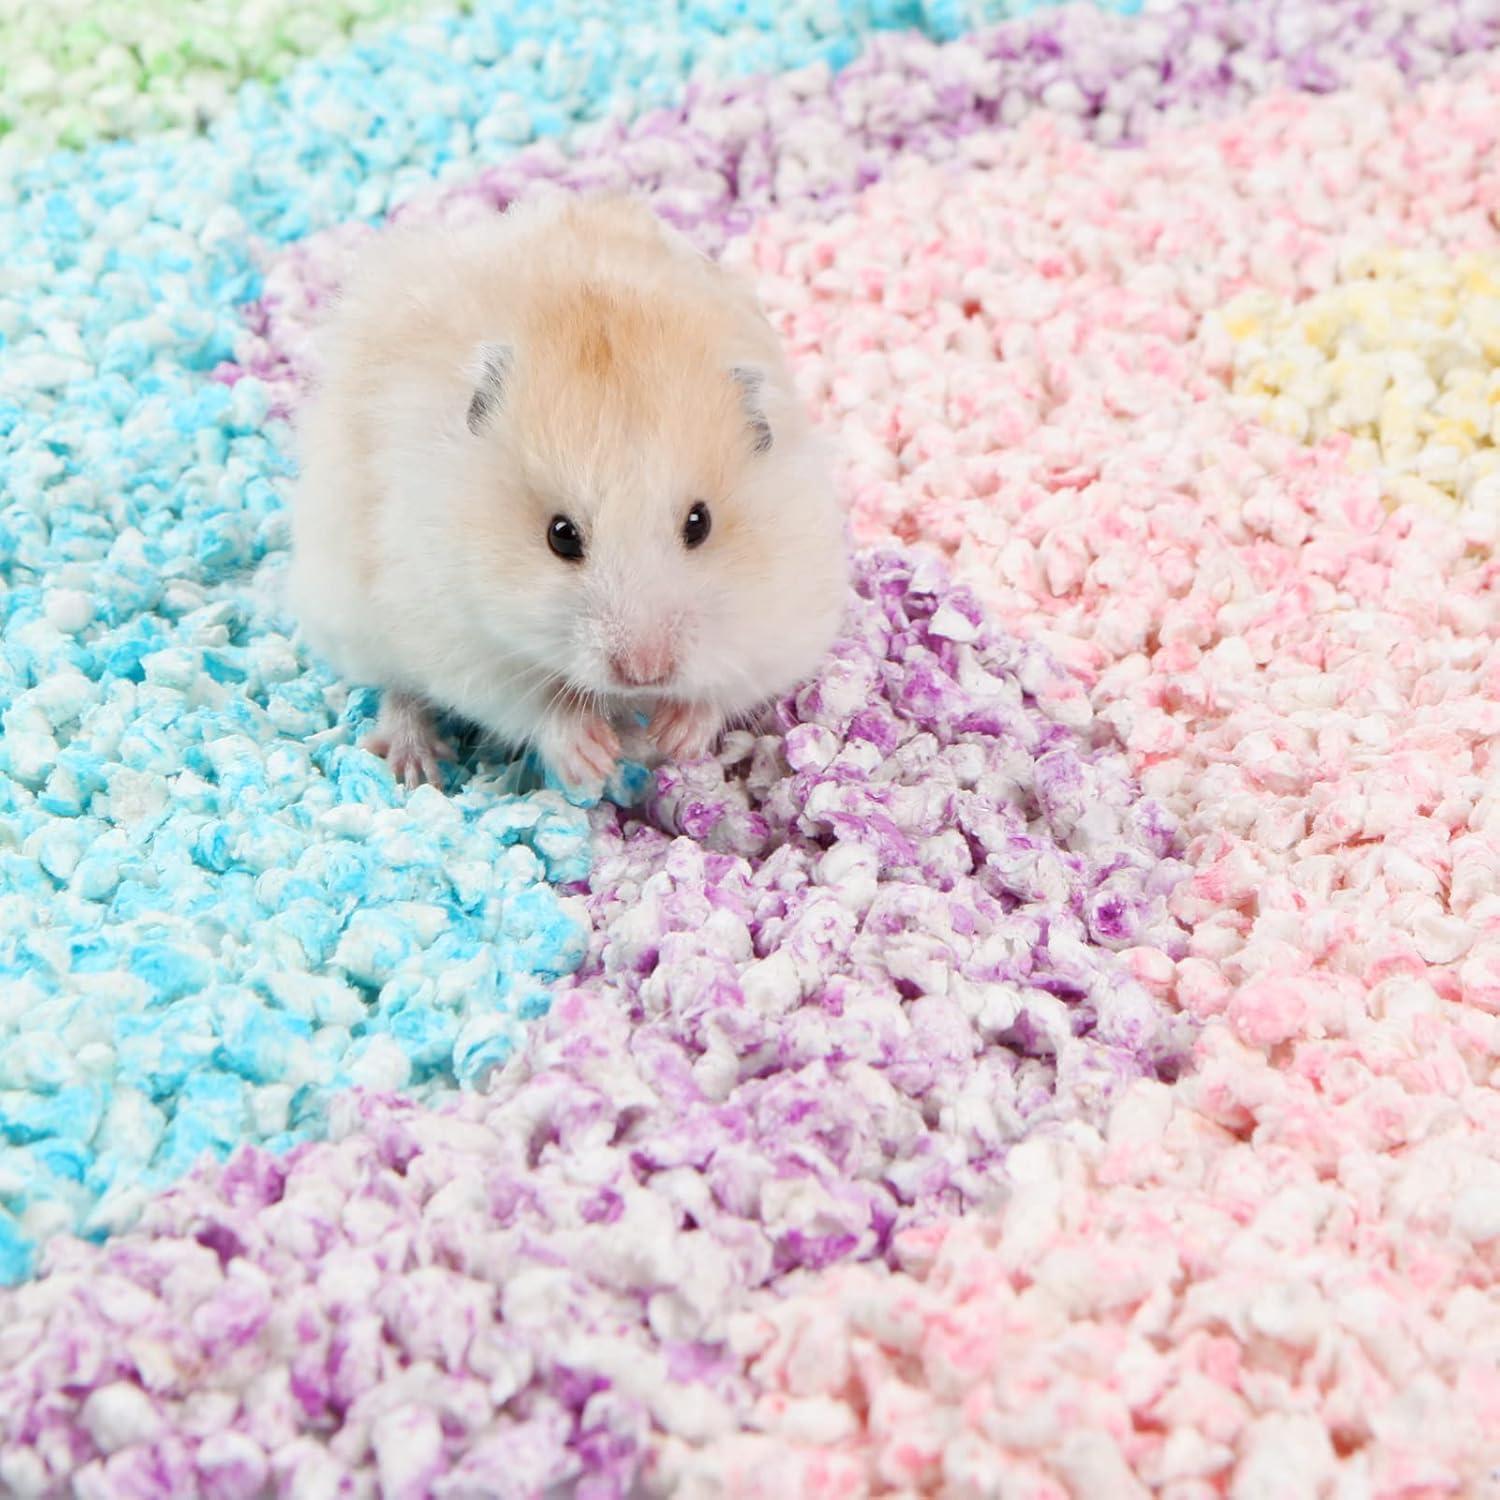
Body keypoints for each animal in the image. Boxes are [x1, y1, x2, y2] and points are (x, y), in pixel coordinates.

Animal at [287, 192, 848, 794]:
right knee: (399, 689)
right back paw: (413, 768)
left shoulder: (784, 620)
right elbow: (535, 706)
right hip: (349, 613)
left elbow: (722, 689)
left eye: (700, 524)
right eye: (560, 536)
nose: (644, 674)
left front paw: (674, 738)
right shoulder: (460, 634)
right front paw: (594, 756)